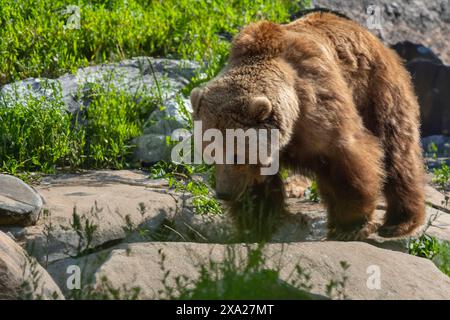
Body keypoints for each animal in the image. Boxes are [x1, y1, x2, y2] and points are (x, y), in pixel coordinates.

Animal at [190, 10, 426, 241]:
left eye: (236, 154)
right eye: (211, 154)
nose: (224, 193)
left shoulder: (317, 104)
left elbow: (345, 158)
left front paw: (351, 225)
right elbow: (258, 184)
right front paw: (257, 225)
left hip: (377, 90)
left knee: (396, 151)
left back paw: (399, 222)